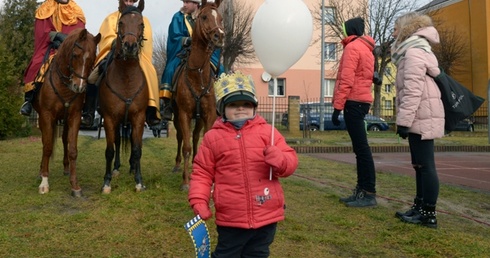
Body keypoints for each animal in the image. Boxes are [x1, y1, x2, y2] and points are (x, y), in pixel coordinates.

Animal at [32, 28, 100, 197]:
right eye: (75, 55)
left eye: (93, 58)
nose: (79, 87)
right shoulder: (46, 116)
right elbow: (47, 147)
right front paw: (44, 182)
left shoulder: (74, 116)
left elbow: (73, 149)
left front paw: (75, 185)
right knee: (45, 142)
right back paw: (41, 171)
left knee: (63, 140)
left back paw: (66, 168)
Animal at [96, 2, 147, 194]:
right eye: (121, 23)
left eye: (141, 24)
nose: (130, 46)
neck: (126, 79)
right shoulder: (110, 119)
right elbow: (110, 150)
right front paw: (106, 182)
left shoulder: (139, 118)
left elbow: (137, 148)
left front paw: (139, 181)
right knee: (117, 142)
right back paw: (117, 168)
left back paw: (132, 168)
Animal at [172, 0, 224, 189]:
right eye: (204, 17)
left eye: (221, 18)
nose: (219, 36)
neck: (198, 75)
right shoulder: (184, 114)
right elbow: (186, 146)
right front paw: (186, 181)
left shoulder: (208, 115)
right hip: (177, 116)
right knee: (181, 137)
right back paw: (178, 165)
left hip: (199, 118)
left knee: (195, 137)